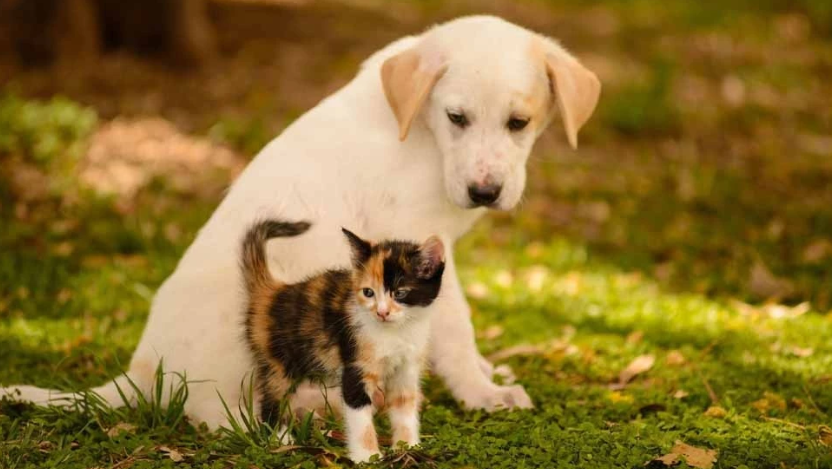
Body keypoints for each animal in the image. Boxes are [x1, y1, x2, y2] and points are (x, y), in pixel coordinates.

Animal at [0, 15, 600, 428]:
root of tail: (141, 369)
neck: (422, 133)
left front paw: (485, 374)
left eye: (519, 123)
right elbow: (455, 327)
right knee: (213, 409)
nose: (485, 192)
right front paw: (482, 393)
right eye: (457, 118)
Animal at [240, 218, 446, 460]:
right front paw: (368, 457)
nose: (382, 312)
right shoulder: (354, 365)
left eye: (400, 293)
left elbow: (404, 406)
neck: (396, 331)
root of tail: (272, 290)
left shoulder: (406, 369)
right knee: (272, 397)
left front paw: (407, 447)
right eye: (368, 293)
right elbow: (360, 417)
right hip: (279, 362)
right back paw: (280, 439)